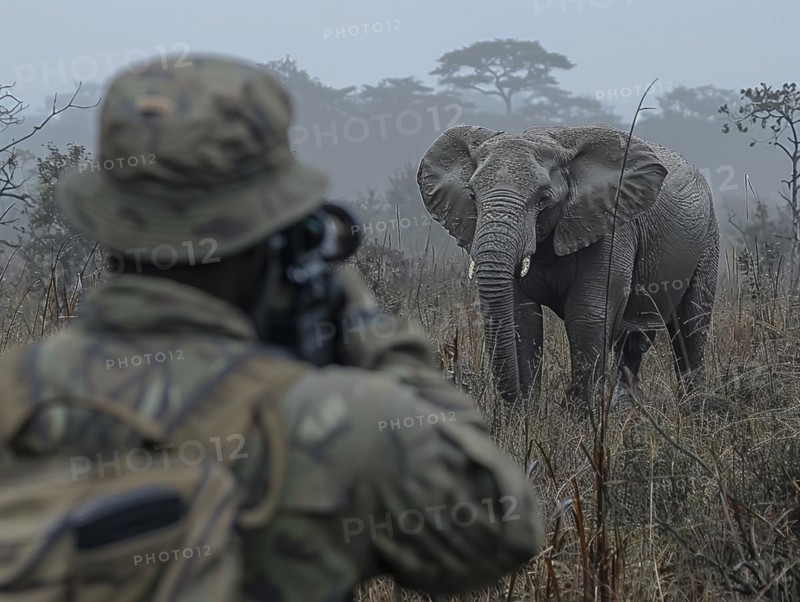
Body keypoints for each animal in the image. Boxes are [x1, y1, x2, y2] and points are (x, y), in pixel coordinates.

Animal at [417, 124, 719, 413]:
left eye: (543, 198)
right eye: (472, 196)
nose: (514, 404)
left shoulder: (611, 225)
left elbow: (588, 314)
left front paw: (581, 419)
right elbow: (521, 317)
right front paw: (524, 420)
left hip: (708, 236)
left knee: (691, 326)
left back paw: (692, 412)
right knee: (634, 341)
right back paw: (624, 413)